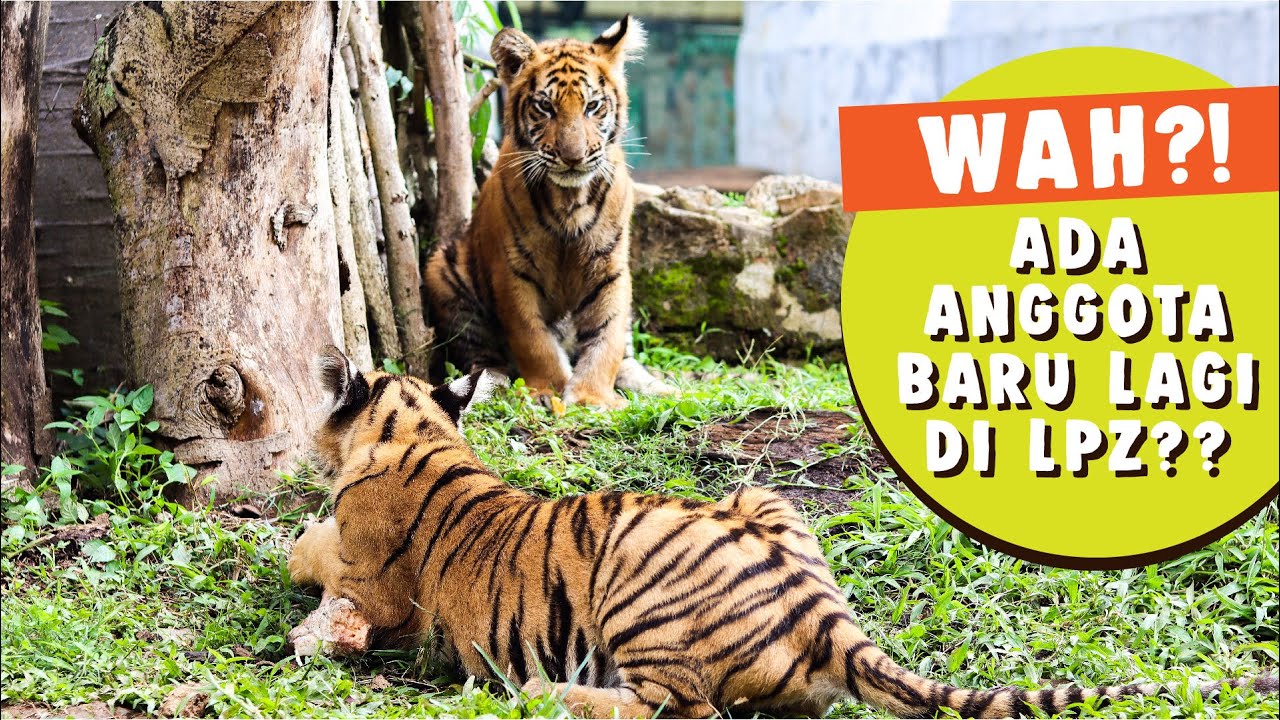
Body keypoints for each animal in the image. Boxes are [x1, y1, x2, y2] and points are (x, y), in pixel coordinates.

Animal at [287, 346, 1277, 718]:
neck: (418, 428)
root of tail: (824, 614)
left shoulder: (372, 584)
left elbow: (313, 550)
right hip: (764, 496)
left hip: (634, 594)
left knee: (674, 709)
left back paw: (541, 693)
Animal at [424, 15, 673, 410]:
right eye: (545, 107)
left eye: (593, 106)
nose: (573, 157)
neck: (570, 201)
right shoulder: (512, 271)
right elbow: (533, 338)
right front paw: (549, 391)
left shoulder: (610, 267)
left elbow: (607, 337)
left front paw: (592, 396)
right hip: (444, 272)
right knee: (484, 359)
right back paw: (488, 386)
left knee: (627, 355)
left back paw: (663, 389)